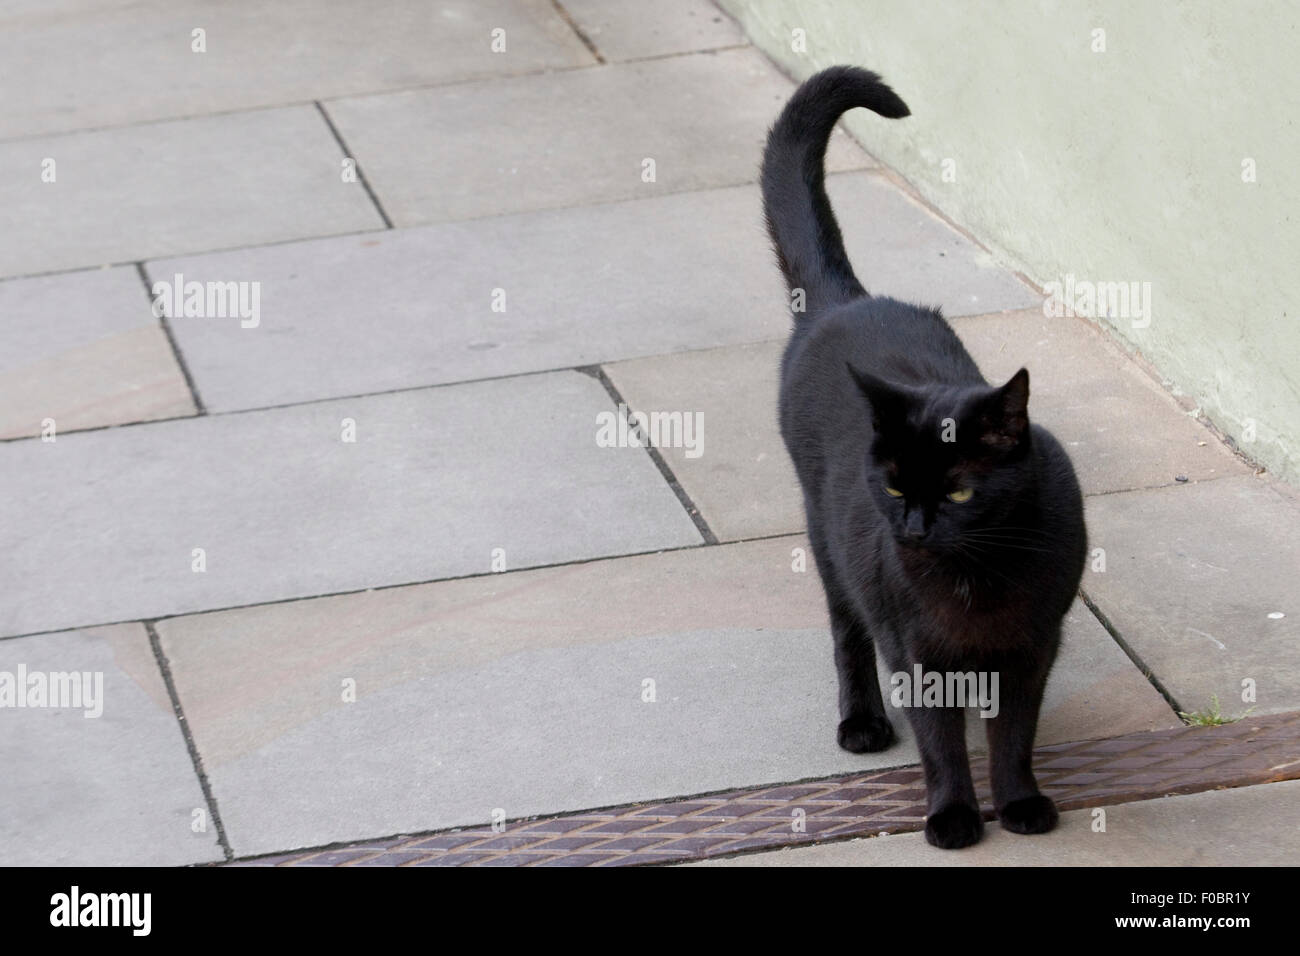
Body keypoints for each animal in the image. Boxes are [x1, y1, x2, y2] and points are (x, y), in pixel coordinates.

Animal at [759, 63, 1086, 848]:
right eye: (896, 488)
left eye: (962, 491)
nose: (912, 531)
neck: (980, 578)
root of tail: (844, 301)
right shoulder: (918, 645)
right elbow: (942, 744)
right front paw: (954, 816)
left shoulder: (1034, 649)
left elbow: (1014, 736)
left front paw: (1021, 803)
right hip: (830, 545)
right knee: (848, 634)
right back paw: (863, 722)